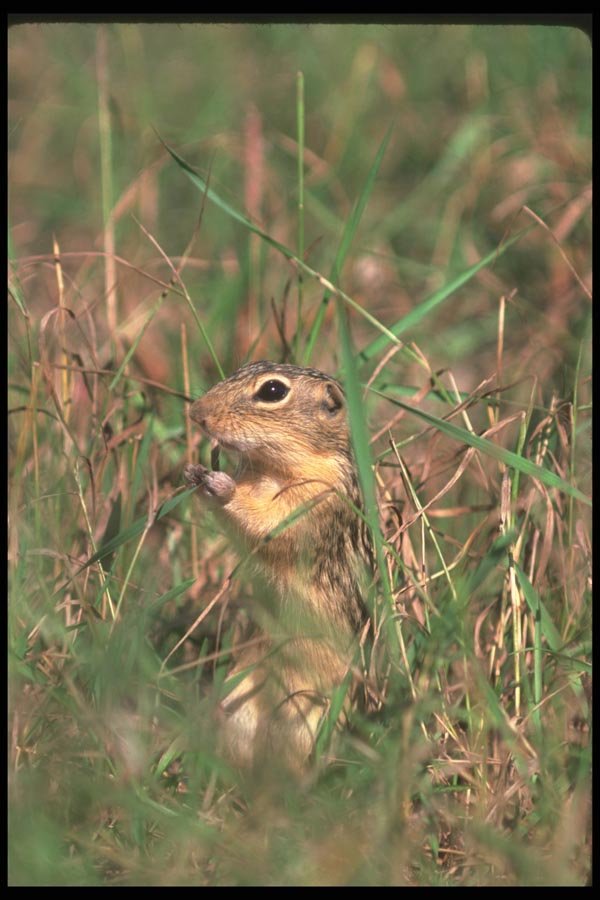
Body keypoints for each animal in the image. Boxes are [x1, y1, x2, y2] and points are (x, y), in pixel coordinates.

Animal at [184, 360, 373, 775]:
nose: (197, 413)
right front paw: (194, 474)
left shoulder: (315, 500)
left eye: (272, 391)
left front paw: (220, 485)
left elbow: (268, 524)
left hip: (308, 722)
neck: (273, 468)